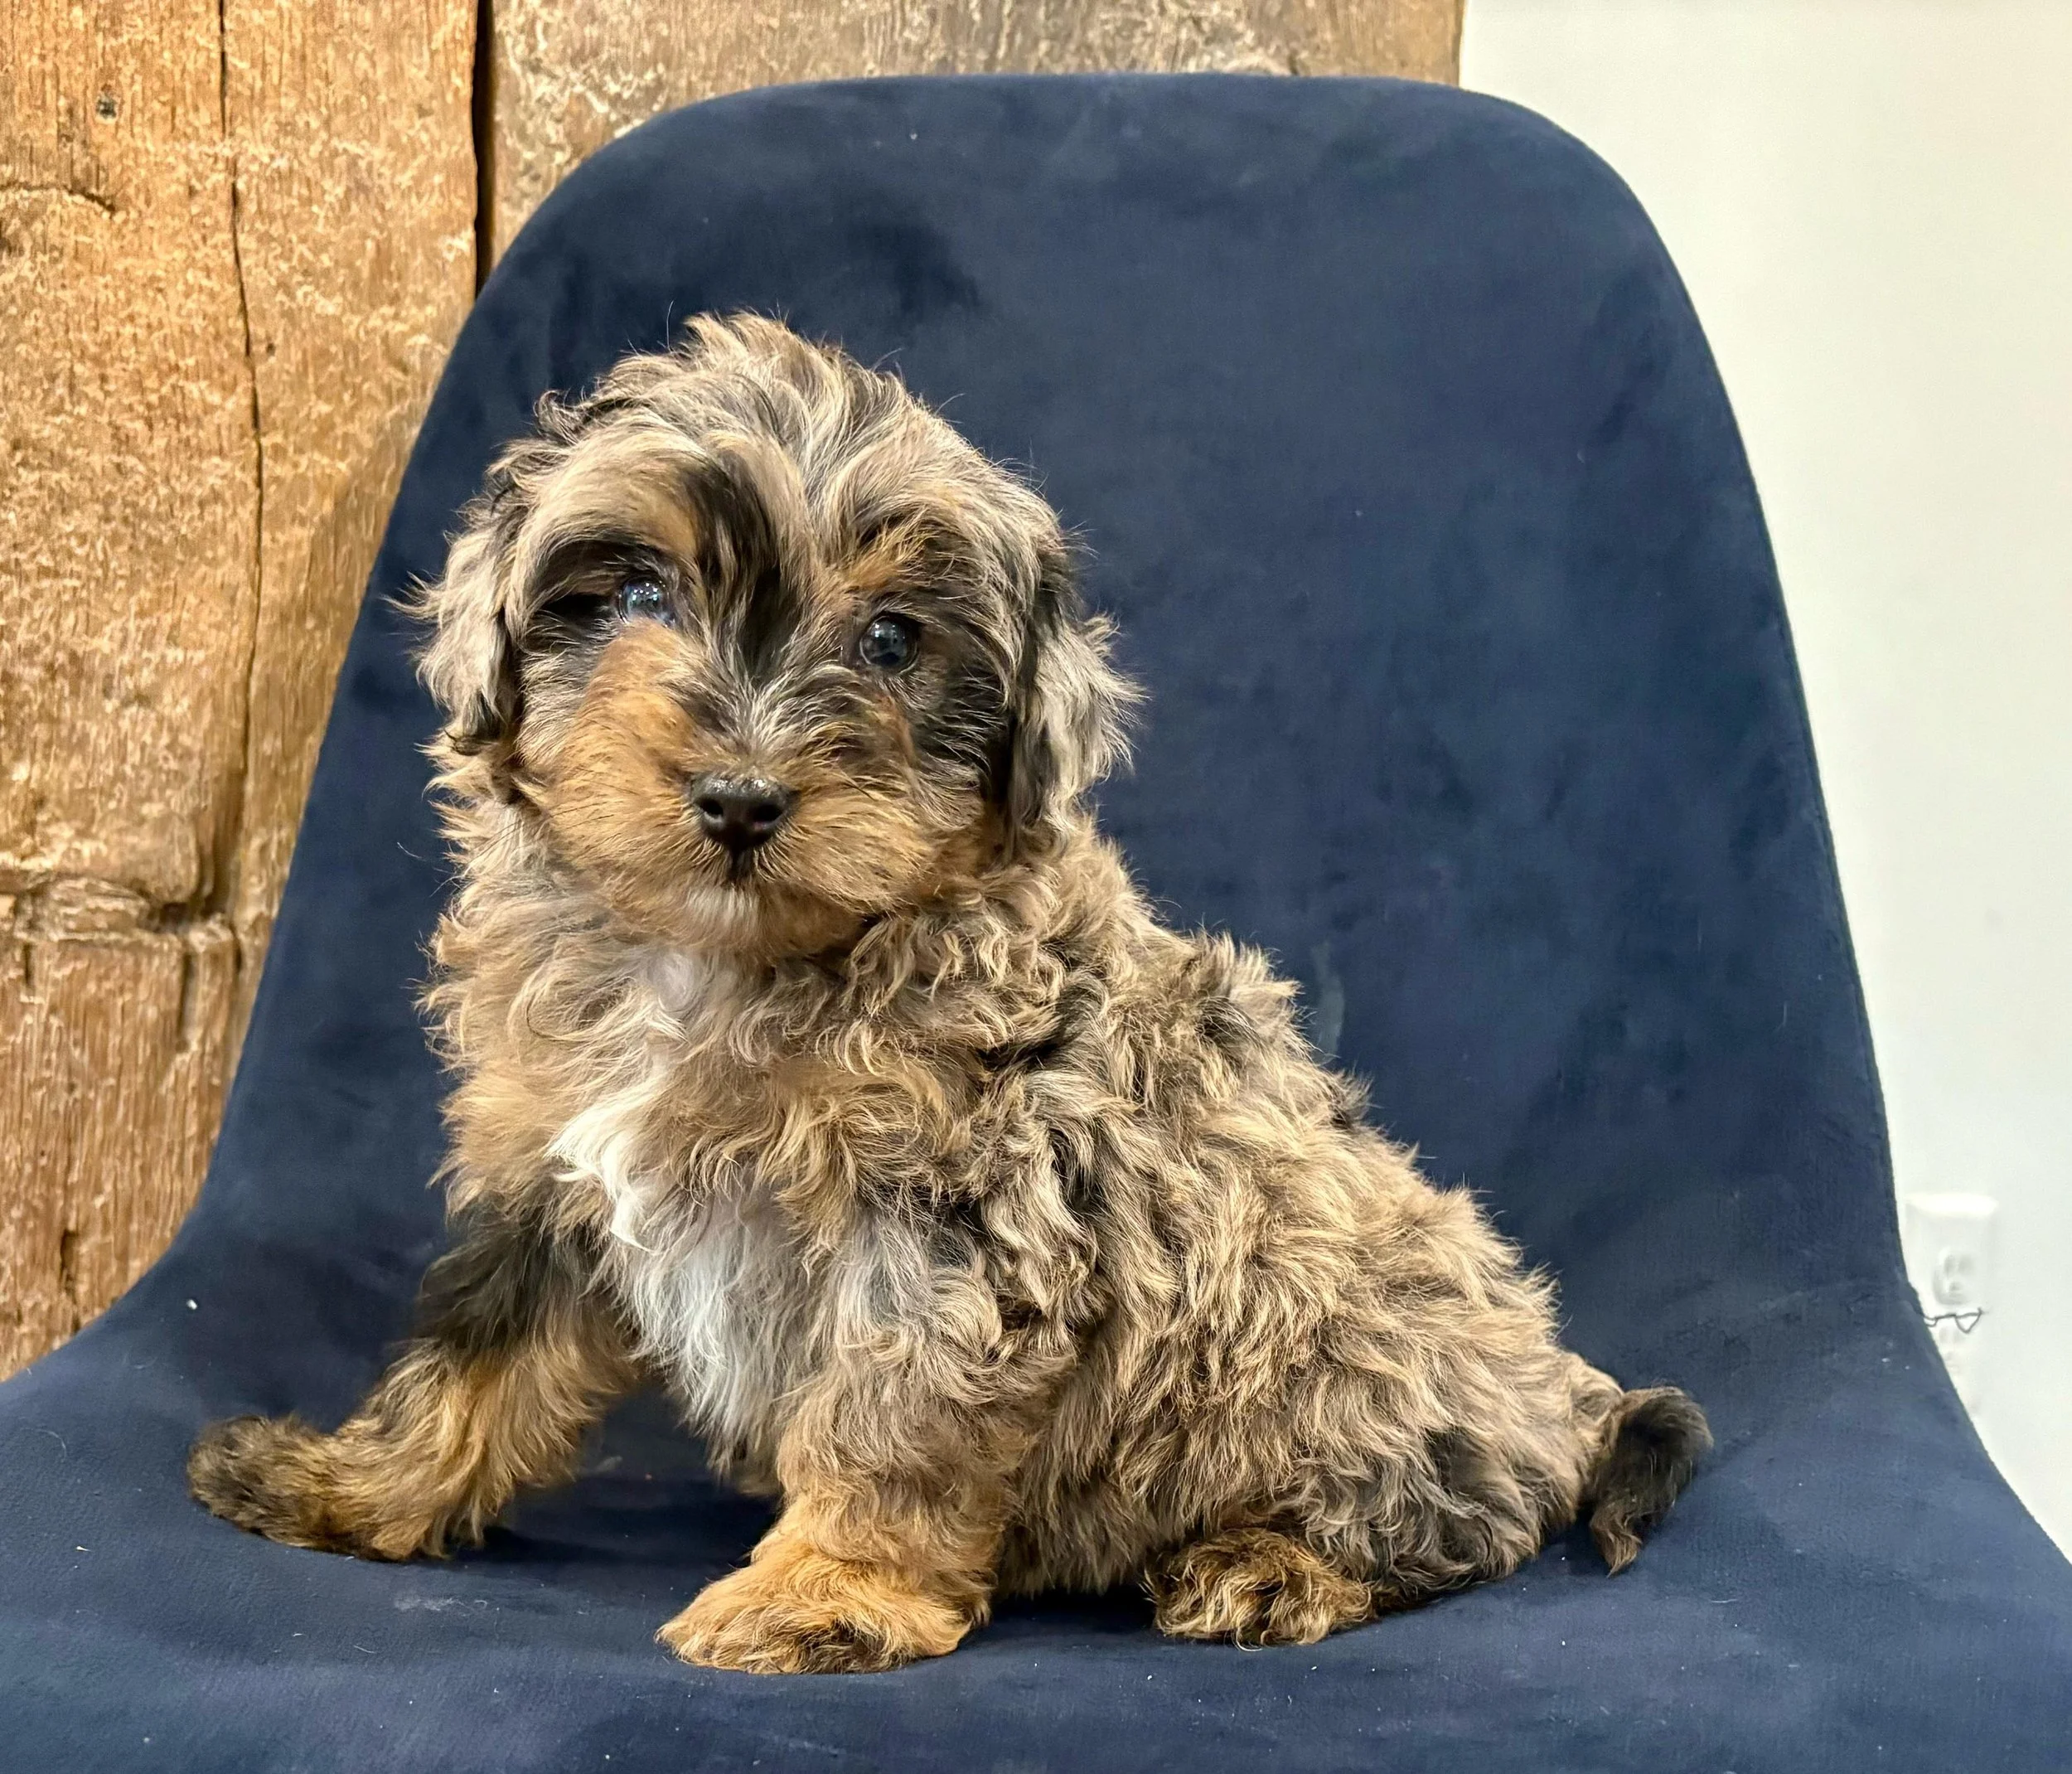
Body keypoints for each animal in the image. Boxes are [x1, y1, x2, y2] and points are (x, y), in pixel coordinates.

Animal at [190, 313, 1710, 1674]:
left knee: (1455, 1527)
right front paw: (350, 1488)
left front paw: (829, 1593)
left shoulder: (959, 1218)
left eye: (891, 642)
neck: (730, 965)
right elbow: (474, 1357)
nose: (740, 798)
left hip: (1364, 1362)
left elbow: (890, 1417)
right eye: (632, 598)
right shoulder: (554, 1180)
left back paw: (1272, 1567)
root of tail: (1562, 1398)